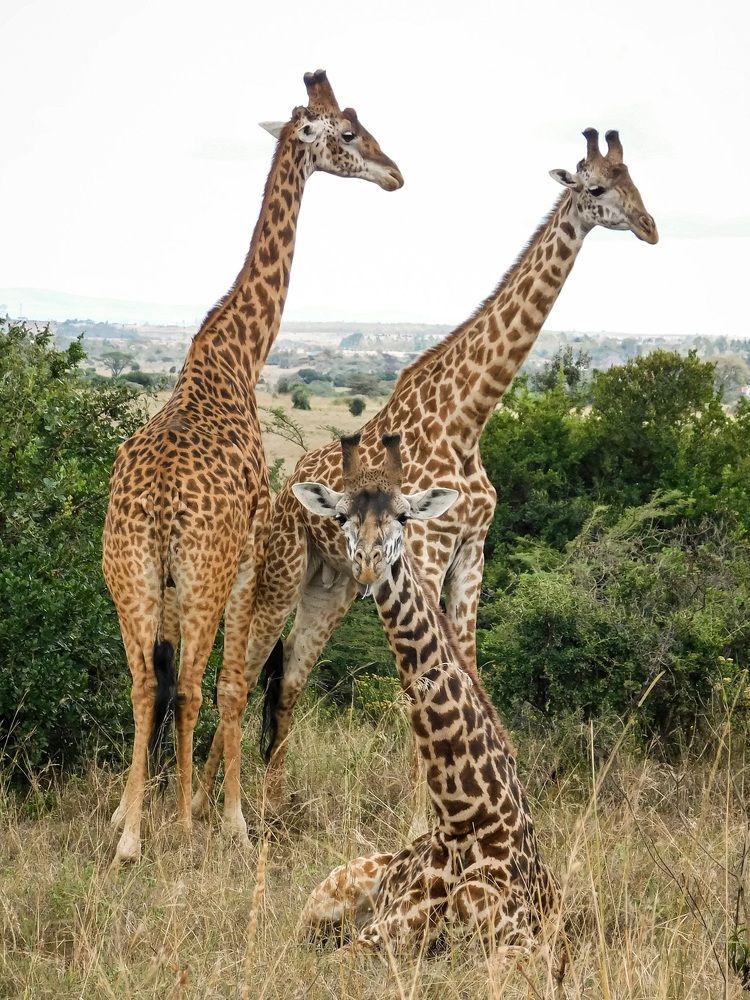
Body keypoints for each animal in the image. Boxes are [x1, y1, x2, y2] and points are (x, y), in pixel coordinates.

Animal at [103, 70, 403, 863]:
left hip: (129, 574)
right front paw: (225, 819)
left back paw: (131, 836)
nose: (395, 172)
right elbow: (229, 685)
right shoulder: (243, 560)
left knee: (142, 683)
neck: (236, 360)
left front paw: (135, 812)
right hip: (200, 574)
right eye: (348, 132)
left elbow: (176, 684)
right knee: (189, 686)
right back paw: (175, 831)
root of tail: (158, 507)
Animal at [193, 126, 657, 815]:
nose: (650, 227)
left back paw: (273, 805)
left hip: (331, 587)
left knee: (290, 679)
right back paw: (209, 806)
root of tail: (283, 489)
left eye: (636, 183)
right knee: (246, 670)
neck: (469, 418)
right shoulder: (429, 551)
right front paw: (426, 812)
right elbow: (425, 677)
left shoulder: (472, 551)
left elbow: (467, 666)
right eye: (598, 188)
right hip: (281, 571)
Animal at [293, 435, 564, 972]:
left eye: (403, 516)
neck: (467, 818)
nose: (369, 564)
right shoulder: (381, 935)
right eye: (341, 516)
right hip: (325, 900)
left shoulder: (528, 945)